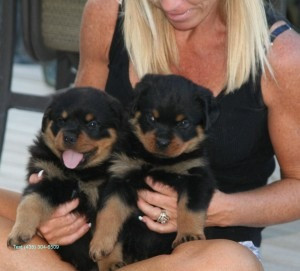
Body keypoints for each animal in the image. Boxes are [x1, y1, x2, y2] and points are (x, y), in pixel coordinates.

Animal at [7, 87, 124, 271]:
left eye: (92, 124)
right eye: (61, 121)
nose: (69, 137)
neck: (77, 174)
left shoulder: (109, 193)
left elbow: (110, 223)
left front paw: (110, 261)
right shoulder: (46, 178)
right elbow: (30, 202)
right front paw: (19, 231)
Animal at [89, 74, 218, 271]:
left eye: (184, 123)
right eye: (151, 117)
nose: (162, 142)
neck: (156, 160)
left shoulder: (197, 177)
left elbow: (190, 207)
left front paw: (188, 235)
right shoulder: (120, 177)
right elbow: (108, 211)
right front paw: (100, 244)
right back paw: (111, 263)